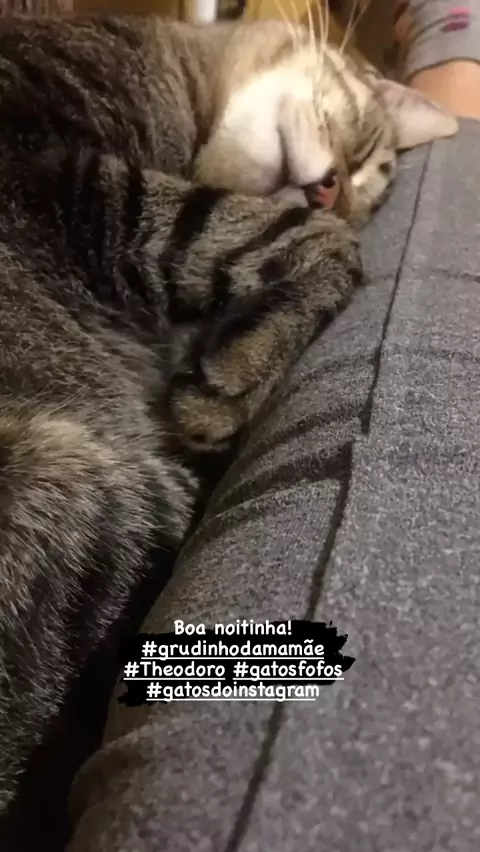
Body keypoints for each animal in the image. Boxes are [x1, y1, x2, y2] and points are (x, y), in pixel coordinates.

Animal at [0, 14, 456, 808]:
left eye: (362, 179)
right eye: (365, 151)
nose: (329, 192)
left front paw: (231, 370)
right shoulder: (48, 170)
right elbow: (291, 237)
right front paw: (235, 375)